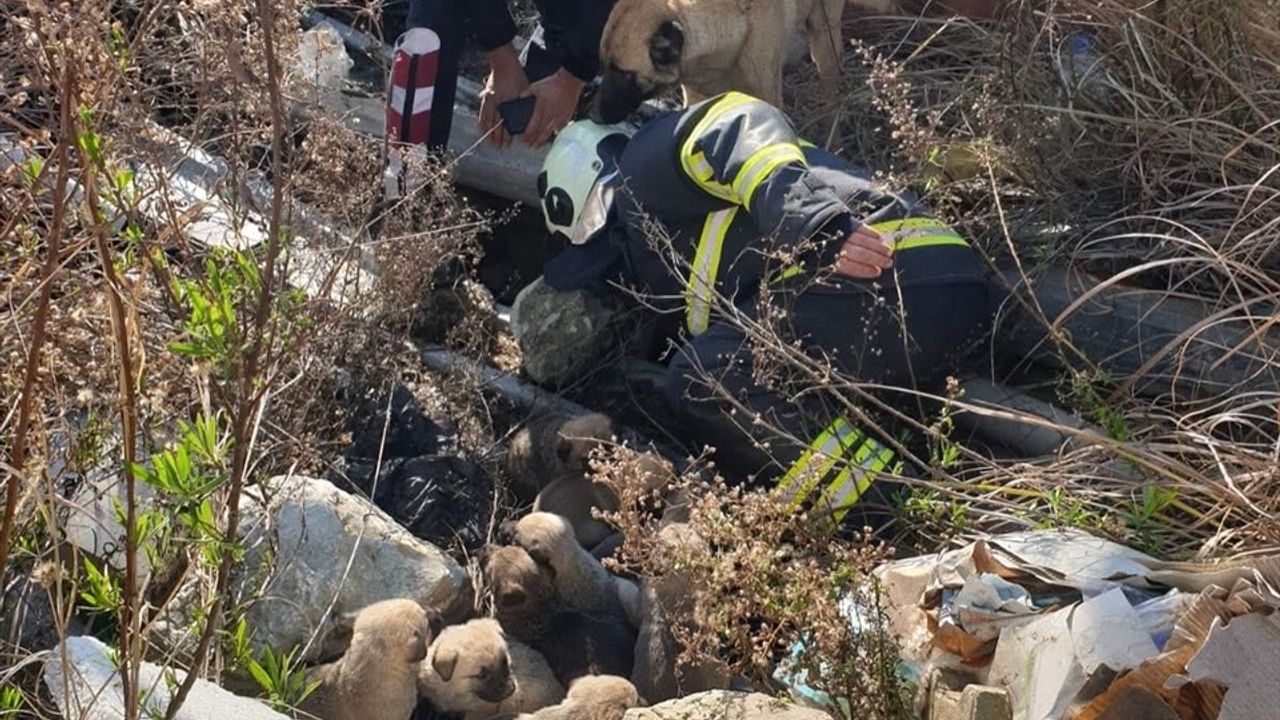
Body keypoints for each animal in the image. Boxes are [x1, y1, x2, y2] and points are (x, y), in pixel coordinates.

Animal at [588, 0, 901, 122]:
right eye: (603, 67)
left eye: (624, 74)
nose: (592, 116)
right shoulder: (697, 96)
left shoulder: (767, 96)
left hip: (824, 36)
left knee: (830, 95)